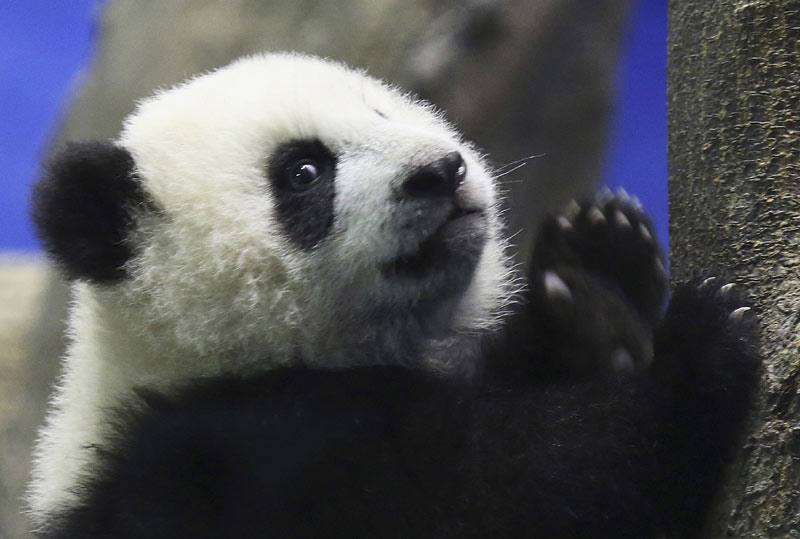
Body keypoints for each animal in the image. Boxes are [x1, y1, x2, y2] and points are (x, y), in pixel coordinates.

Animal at [29, 53, 760, 538]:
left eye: (379, 110)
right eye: (303, 171)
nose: (441, 171)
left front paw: (599, 265)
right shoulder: (228, 462)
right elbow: (502, 491)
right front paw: (691, 351)